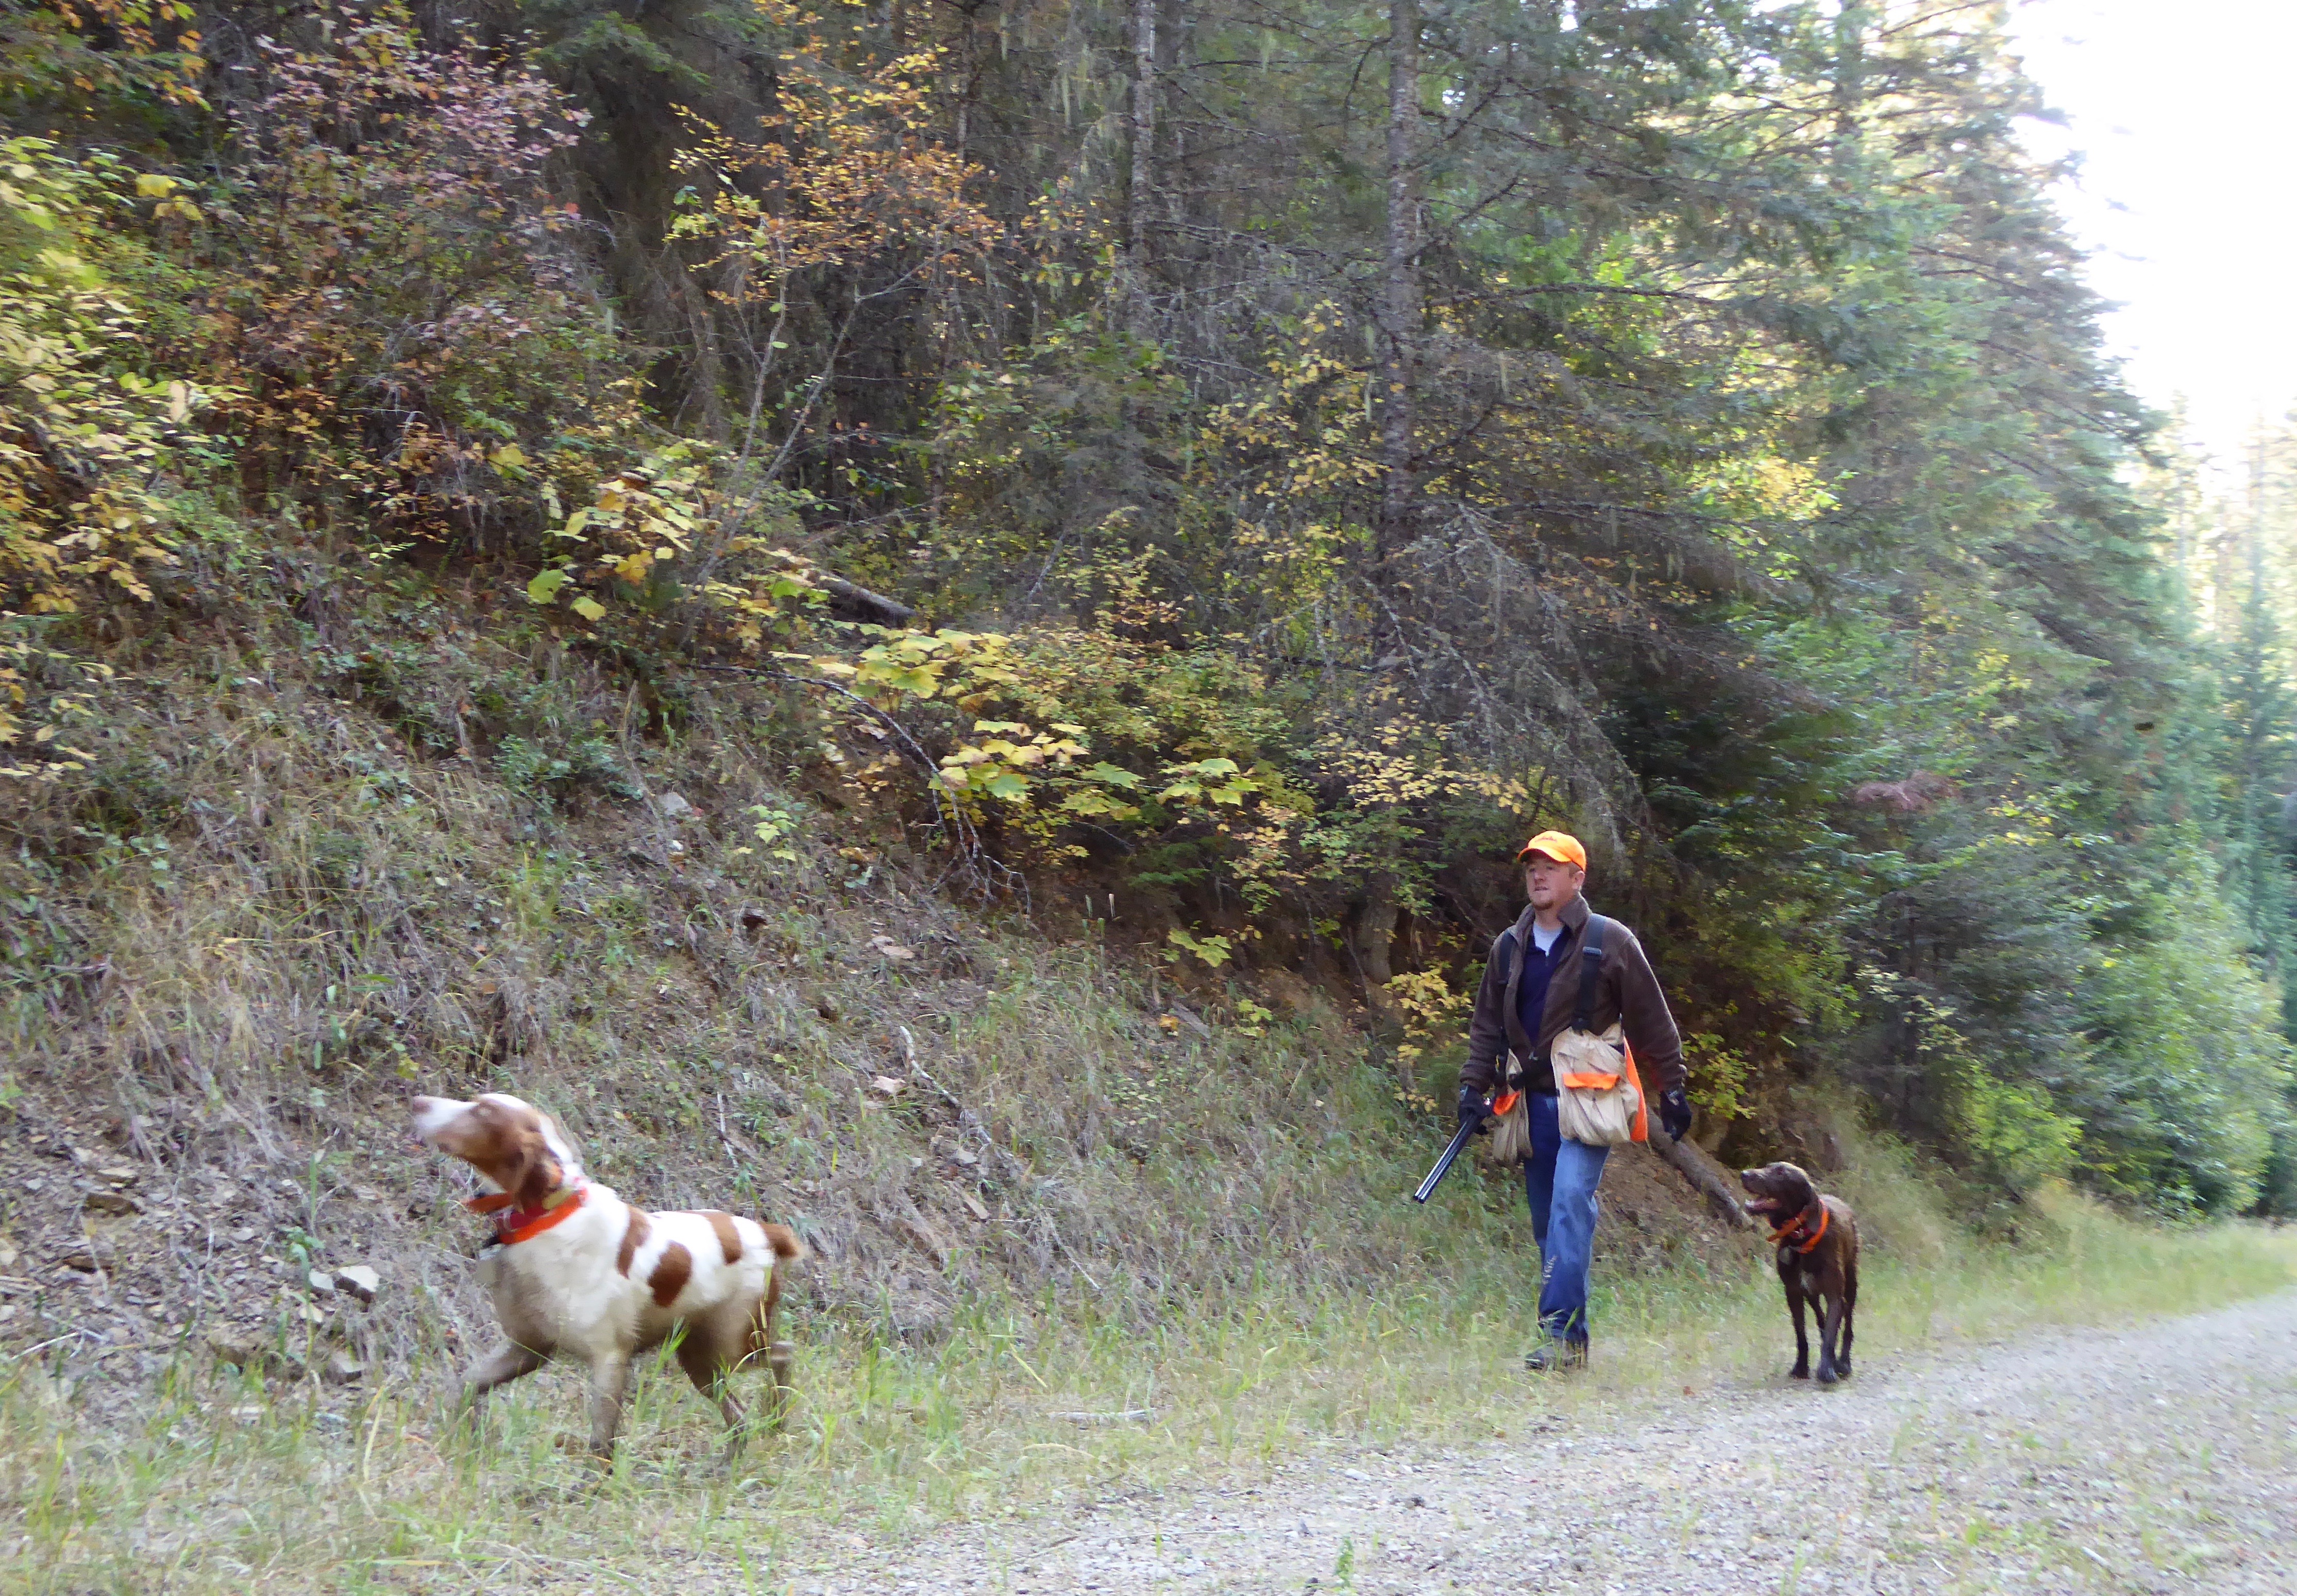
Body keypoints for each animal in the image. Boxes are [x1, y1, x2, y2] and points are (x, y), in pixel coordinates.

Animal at [413, 1097, 808, 1461]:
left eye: (482, 1110)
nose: (419, 1102)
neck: (546, 1219)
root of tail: (765, 1232)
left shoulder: (609, 1359)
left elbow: (600, 1445)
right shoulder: (526, 1349)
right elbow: (463, 1387)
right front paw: (466, 1440)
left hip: (730, 1345)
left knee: (784, 1355)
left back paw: (776, 1421)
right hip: (700, 1359)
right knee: (741, 1417)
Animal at [1727, 1162, 1856, 1387]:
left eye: (1781, 1173)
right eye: (1768, 1166)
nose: (1744, 1174)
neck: (1801, 1237)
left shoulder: (1834, 1295)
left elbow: (1832, 1335)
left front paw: (1827, 1370)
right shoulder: (1794, 1293)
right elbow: (1802, 1336)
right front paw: (1801, 1367)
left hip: (1850, 1286)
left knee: (1847, 1325)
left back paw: (1843, 1363)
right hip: (1811, 1294)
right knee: (1822, 1319)